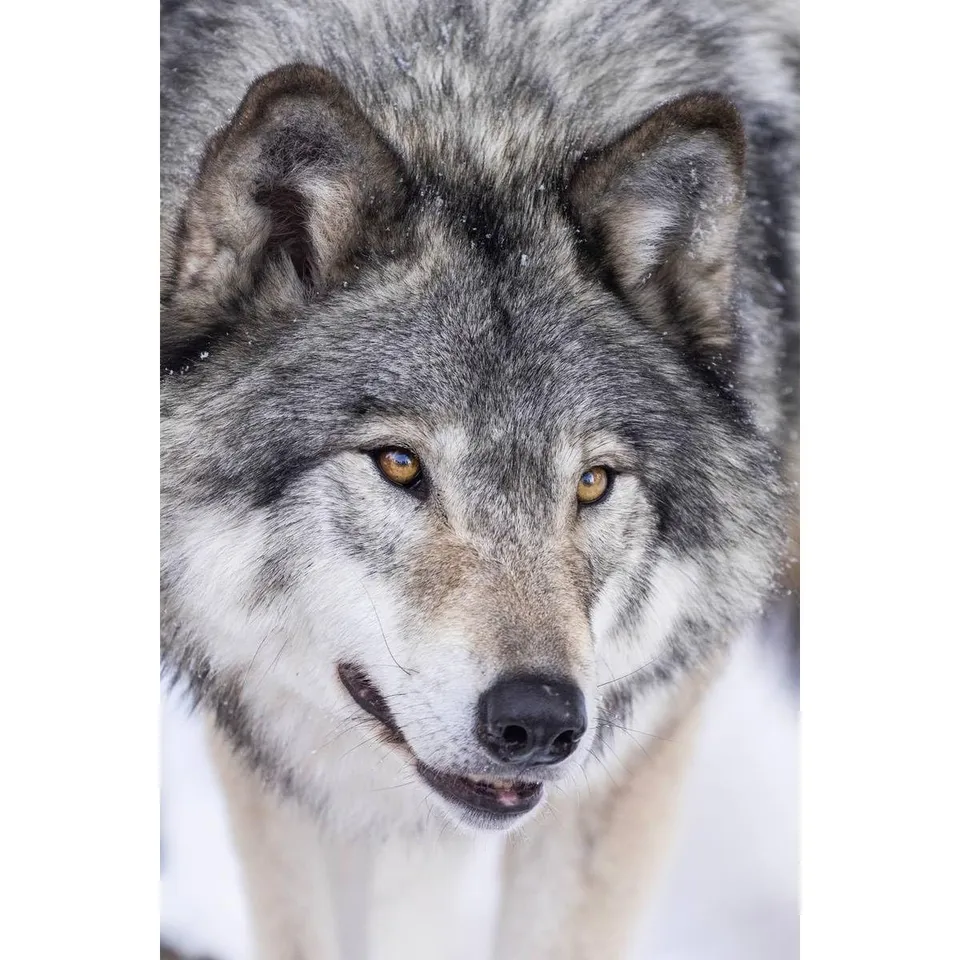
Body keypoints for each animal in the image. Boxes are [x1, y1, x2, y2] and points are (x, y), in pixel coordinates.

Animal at [160, 0, 799, 956]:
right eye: (399, 464)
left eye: (593, 482)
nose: (539, 719)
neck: (480, 101)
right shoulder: (288, 762)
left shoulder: (633, 751)